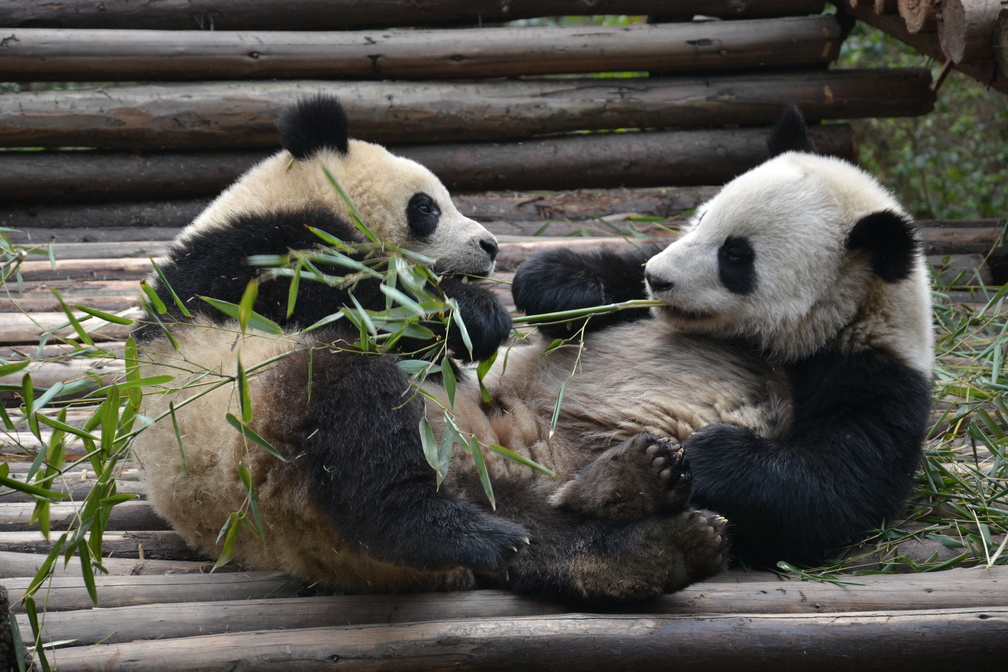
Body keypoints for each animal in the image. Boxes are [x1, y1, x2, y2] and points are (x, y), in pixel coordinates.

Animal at [130, 95, 729, 604]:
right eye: (427, 207)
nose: (490, 245)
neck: (280, 196)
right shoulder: (252, 260)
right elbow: (353, 298)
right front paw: (477, 315)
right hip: (263, 435)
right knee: (358, 418)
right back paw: (449, 531)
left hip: (472, 472)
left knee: (537, 526)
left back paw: (647, 525)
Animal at [508, 107, 931, 572]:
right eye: (702, 217)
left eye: (735, 255)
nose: (658, 278)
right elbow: (608, 282)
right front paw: (558, 286)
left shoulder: (876, 376)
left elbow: (832, 490)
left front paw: (705, 453)